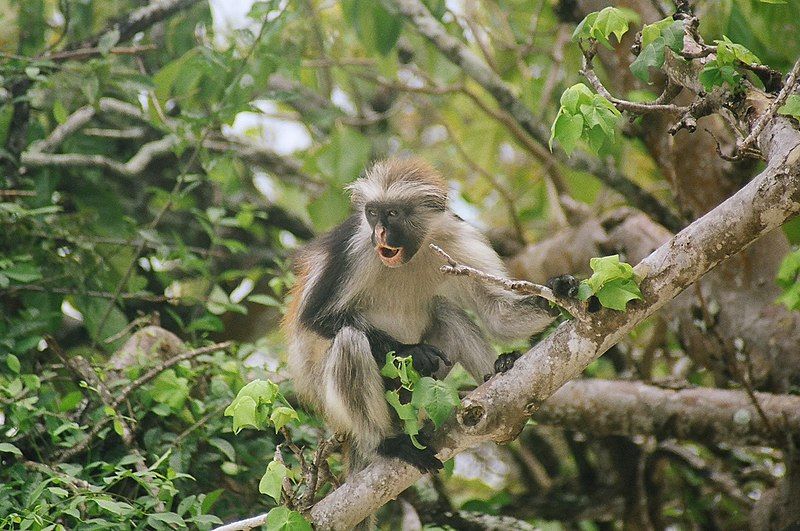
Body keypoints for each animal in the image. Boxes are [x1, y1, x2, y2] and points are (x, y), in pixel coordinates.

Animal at [282, 158, 568, 474]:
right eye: (372, 213)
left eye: (392, 213)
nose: (379, 233)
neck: (411, 255)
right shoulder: (354, 246)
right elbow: (315, 319)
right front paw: (411, 352)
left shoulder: (459, 238)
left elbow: (498, 315)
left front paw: (560, 292)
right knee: (349, 339)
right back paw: (386, 442)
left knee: (447, 312)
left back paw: (497, 374)